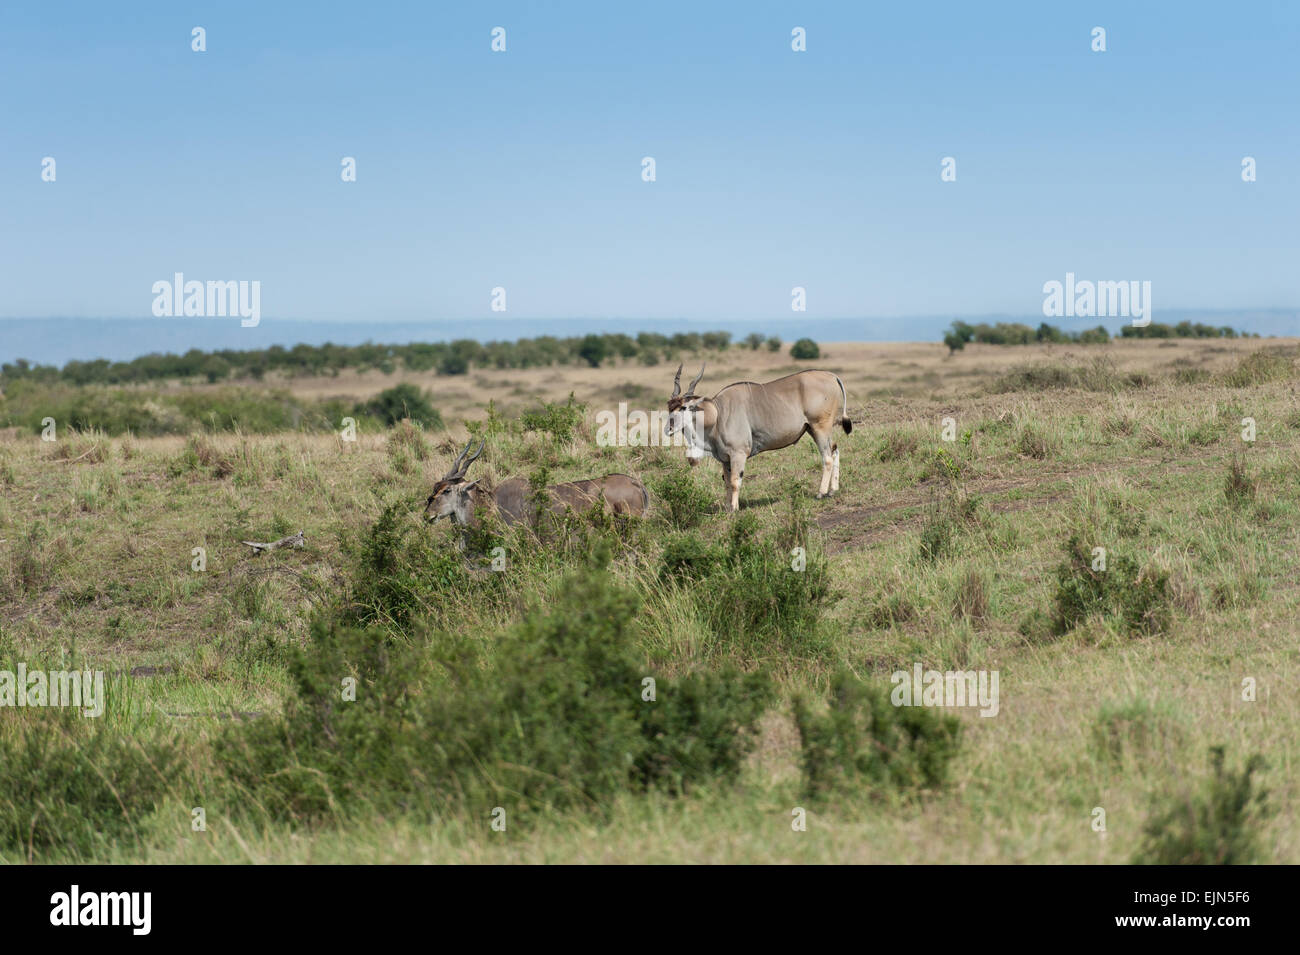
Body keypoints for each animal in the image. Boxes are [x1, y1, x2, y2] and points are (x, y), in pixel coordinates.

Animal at [660, 363, 852, 511]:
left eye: (684, 408)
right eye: (669, 406)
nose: (668, 429)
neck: (717, 414)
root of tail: (831, 376)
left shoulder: (738, 454)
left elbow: (735, 481)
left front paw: (734, 509)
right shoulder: (726, 459)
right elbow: (727, 482)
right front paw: (728, 508)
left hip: (820, 427)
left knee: (827, 457)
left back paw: (821, 493)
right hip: (814, 430)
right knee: (835, 450)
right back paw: (832, 491)